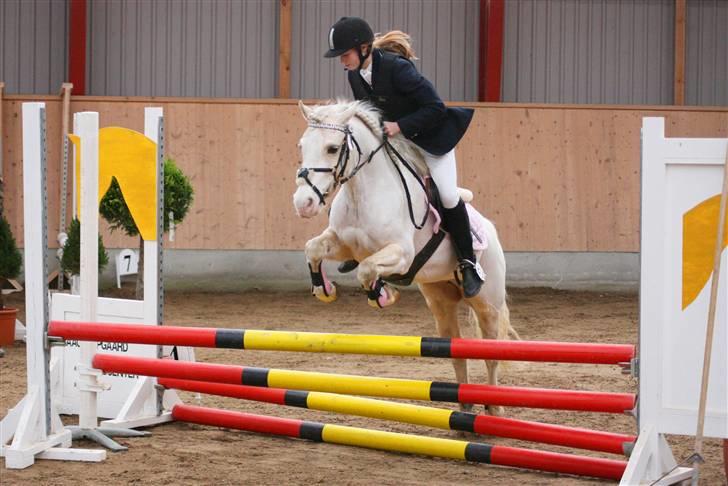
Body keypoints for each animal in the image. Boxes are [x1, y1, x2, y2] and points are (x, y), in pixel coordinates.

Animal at [292, 100, 516, 412]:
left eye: (332, 148)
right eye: (302, 146)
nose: (304, 204)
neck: (363, 192)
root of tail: (491, 230)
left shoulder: (402, 254)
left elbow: (367, 270)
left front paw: (383, 296)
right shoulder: (344, 245)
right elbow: (313, 249)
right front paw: (325, 290)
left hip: (488, 304)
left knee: (491, 353)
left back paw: (494, 408)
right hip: (440, 301)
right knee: (457, 350)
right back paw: (464, 409)